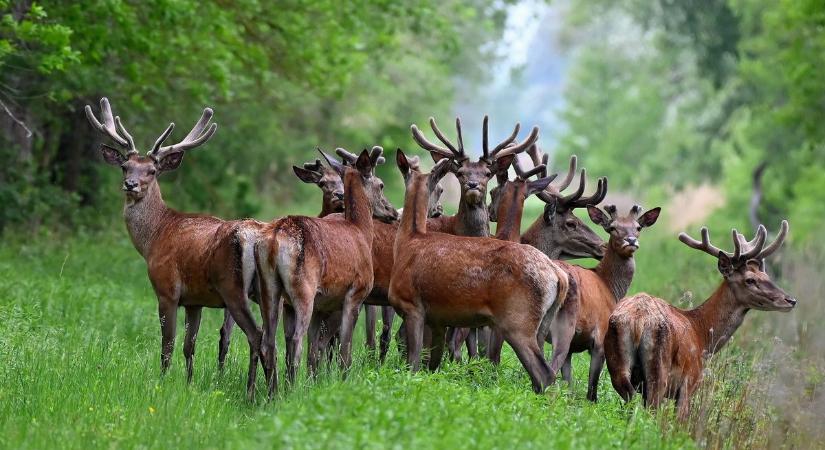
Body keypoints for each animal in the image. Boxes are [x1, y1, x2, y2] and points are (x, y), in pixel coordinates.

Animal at [86, 97, 276, 398]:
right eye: (125, 166)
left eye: (152, 171)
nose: (130, 185)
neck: (154, 238)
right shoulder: (195, 300)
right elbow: (189, 346)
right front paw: (188, 384)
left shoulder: (167, 290)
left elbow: (168, 345)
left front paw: (161, 382)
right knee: (272, 337)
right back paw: (272, 390)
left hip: (233, 289)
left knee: (256, 334)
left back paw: (251, 391)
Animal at [386, 150, 568, 390]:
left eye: (439, 188)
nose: (437, 210)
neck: (408, 241)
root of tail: (558, 276)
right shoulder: (437, 319)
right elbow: (432, 364)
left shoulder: (412, 305)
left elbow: (414, 362)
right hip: (543, 322)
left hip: (518, 320)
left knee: (544, 374)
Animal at [604, 221, 792, 418]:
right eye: (750, 280)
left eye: (766, 276)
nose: (790, 300)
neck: (702, 334)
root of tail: (638, 321)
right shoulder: (690, 381)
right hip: (658, 370)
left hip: (617, 365)